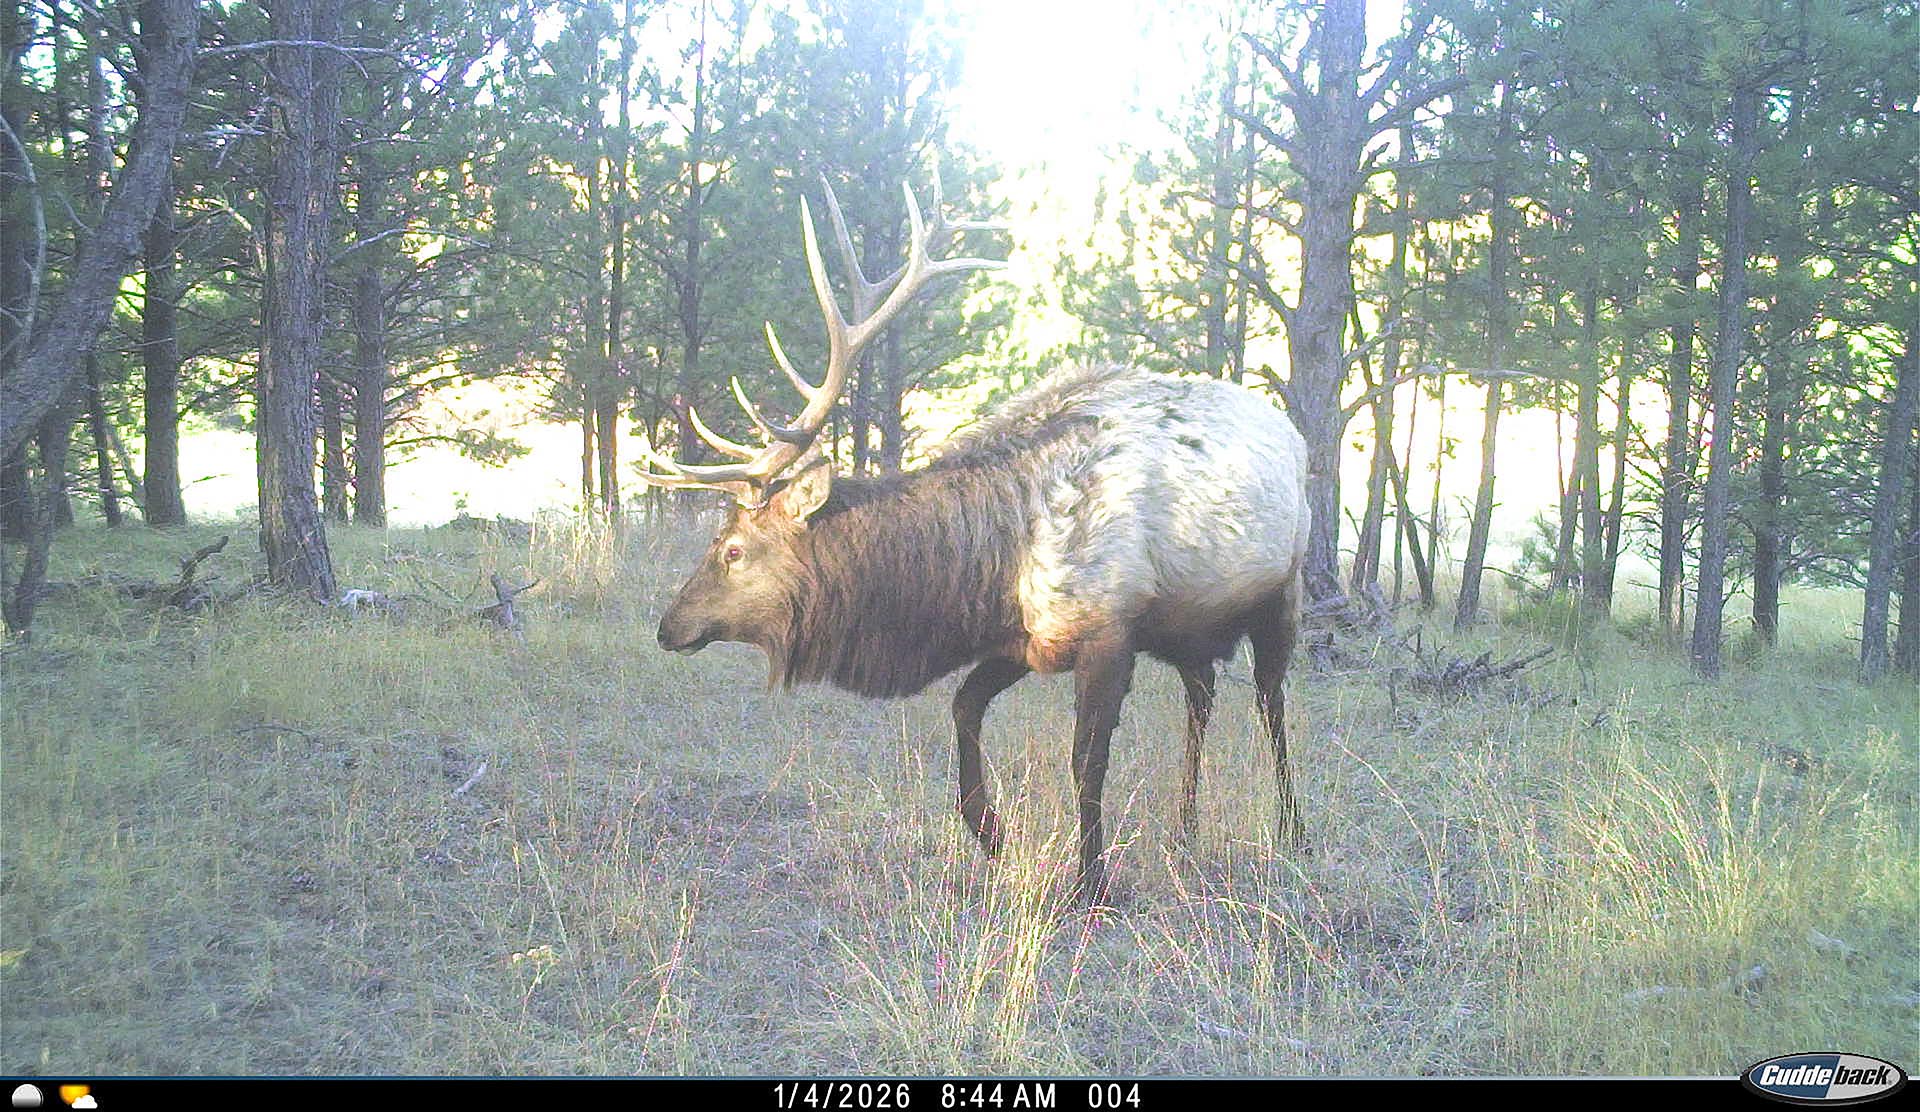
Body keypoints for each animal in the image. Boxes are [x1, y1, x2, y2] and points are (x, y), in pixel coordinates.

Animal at [637, 176, 1311, 905]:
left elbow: (1086, 759)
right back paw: (1185, 827)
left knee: (1271, 702)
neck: (988, 571)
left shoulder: (1108, 629)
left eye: (733, 549)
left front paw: (1093, 881)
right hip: (1188, 625)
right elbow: (963, 707)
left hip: (1282, 594)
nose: (669, 627)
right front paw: (989, 832)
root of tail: (1294, 435)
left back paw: (1291, 828)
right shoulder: (1023, 640)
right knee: (1202, 697)